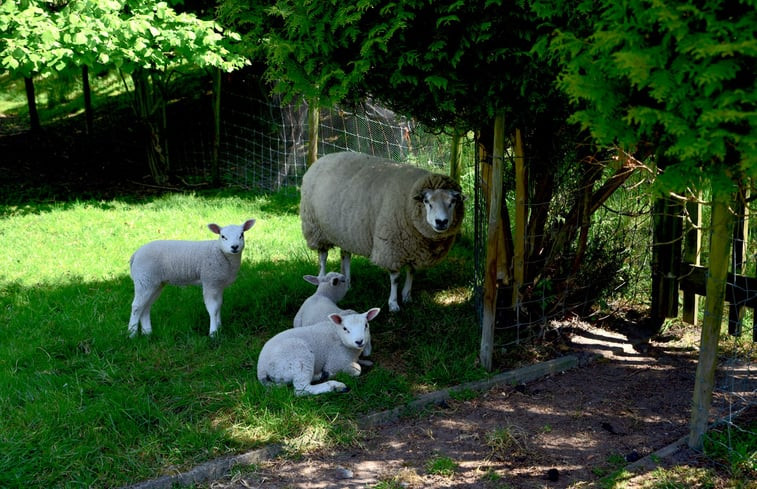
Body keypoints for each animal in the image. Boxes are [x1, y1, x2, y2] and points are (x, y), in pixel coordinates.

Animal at [298, 151, 464, 310]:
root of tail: (320, 160)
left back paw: (348, 283)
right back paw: (321, 278)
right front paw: (393, 303)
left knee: (345, 255)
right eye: (427, 201)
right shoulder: (392, 248)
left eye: (453, 201)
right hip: (315, 228)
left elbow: (411, 272)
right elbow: (395, 279)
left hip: (345, 232)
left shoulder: (414, 248)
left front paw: (407, 296)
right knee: (323, 257)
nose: (441, 222)